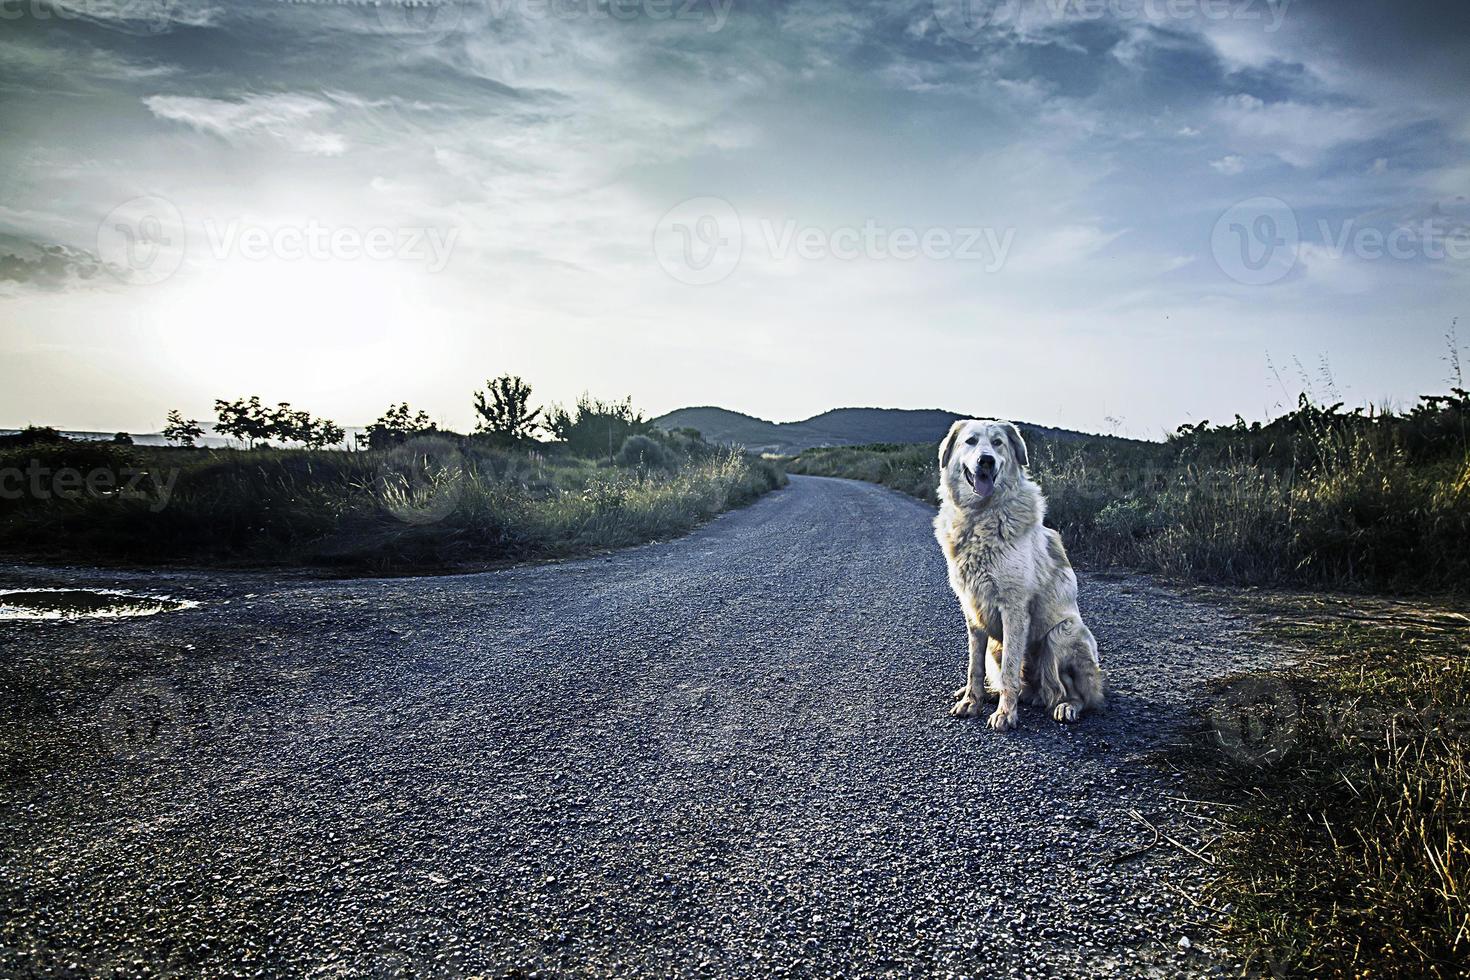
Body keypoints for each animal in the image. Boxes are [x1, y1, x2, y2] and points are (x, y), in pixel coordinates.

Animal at [929, 417, 1105, 731]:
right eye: (971, 441)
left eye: (997, 443)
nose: (986, 461)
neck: (979, 516)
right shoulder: (973, 613)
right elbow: (974, 667)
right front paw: (972, 701)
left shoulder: (1014, 609)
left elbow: (1011, 670)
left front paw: (1004, 714)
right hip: (994, 646)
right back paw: (987, 693)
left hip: (1063, 633)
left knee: (1073, 694)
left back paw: (1065, 707)